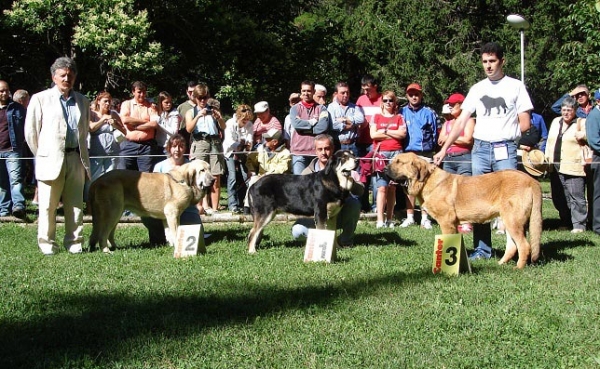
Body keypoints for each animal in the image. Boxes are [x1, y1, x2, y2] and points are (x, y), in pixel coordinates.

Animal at [384, 151, 544, 268]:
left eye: (399, 162)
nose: (384, 169)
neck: (427, 181)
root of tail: (532, 181)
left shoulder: (446, 222)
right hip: (509, 221)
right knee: (512, 246)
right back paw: (500, 264)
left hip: (512, 220)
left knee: (524, 246)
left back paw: (518, 268)